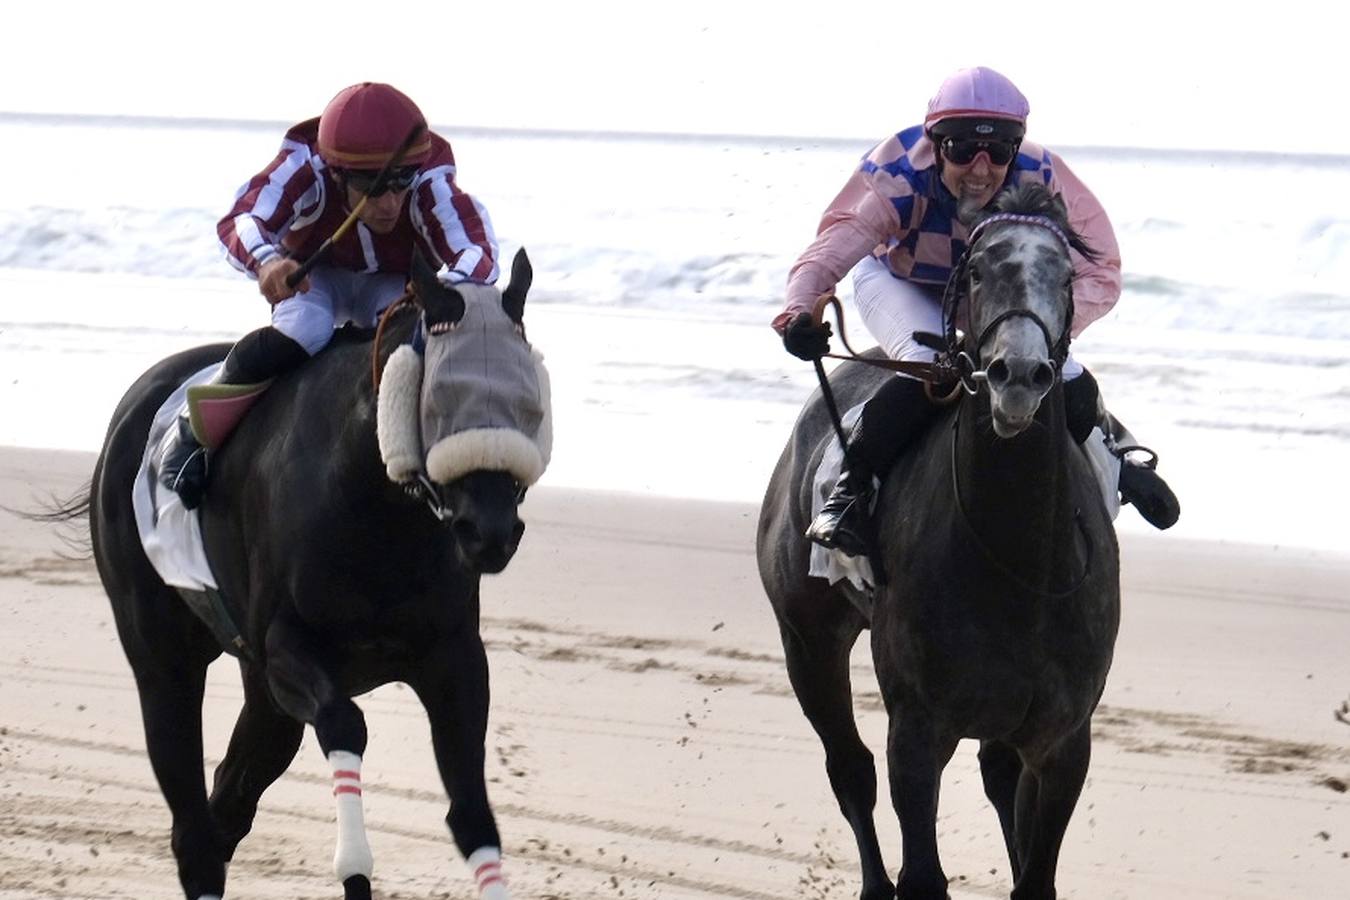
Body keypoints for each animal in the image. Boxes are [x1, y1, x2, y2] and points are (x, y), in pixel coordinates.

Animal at [81, 248, 540, 900]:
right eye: (439, 401)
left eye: (528, 400)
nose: (491, 531)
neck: (376, 508)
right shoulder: (286, 646)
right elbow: (345, 724)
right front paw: (354, 867)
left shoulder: (451, 654)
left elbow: (471, 812)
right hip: (161, 649)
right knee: (190, 811)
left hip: (259, 694)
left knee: (231, 798)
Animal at [761, 184, 1117, 900]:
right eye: (976, 270)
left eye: (1067, 276)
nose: (1019, 375)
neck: (1019, 563)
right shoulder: (918, 729)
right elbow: (921, 870)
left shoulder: (1063, 737)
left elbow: (1034, 873)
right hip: (806, 636)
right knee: (849, 766)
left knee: (996, 777)